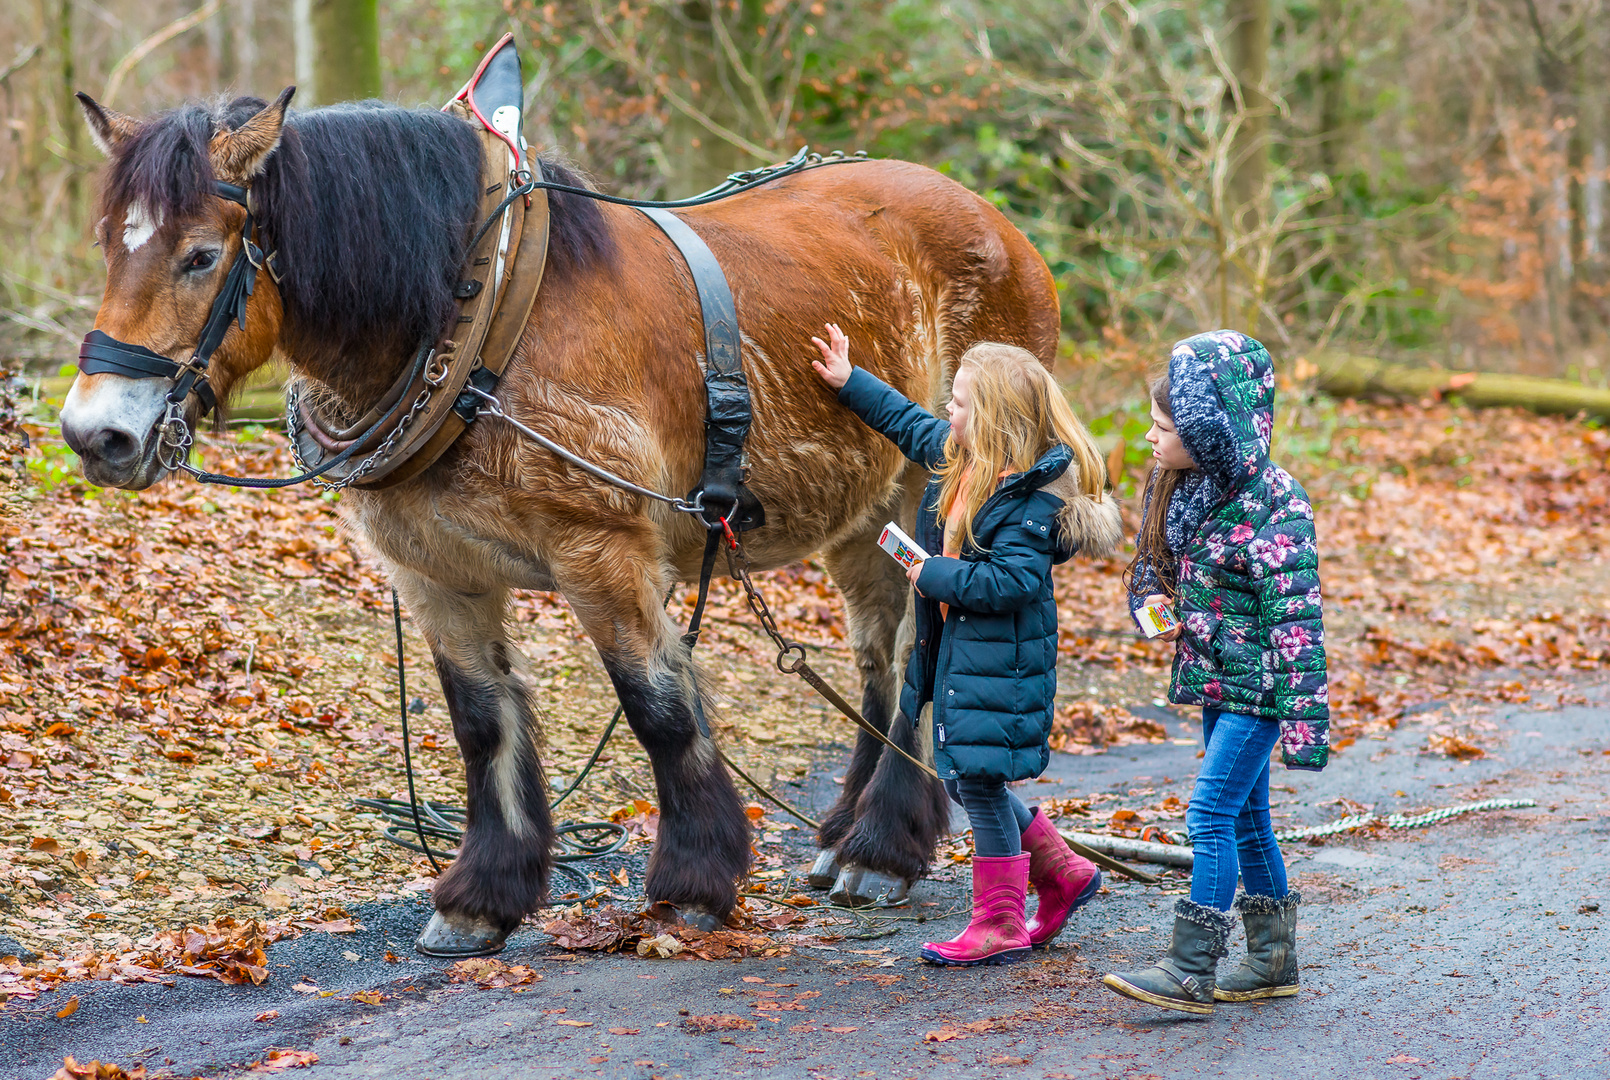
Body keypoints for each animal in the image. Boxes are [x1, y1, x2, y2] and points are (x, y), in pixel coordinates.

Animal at [62, 92, 1069, 952]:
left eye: (200, 255)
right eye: (108, 244)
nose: (95, 434)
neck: (478, 319)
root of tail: (1000, 226)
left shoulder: (602, 551)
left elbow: (659, 708)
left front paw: (694, 884)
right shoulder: (435, 572)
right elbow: (481, 721)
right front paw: (482, 897)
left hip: (937, 497)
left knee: (915, 654)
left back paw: (881, 850)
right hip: (864, 517)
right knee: (880, 657)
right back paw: (845, 837)